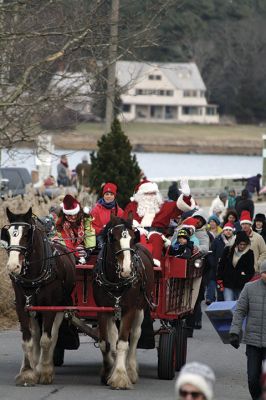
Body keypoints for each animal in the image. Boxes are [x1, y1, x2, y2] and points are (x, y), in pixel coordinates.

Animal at [1, 206, 76, 384]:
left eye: (26, 235)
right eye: (8, 235)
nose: (13, 266)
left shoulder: (49, 307)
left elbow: (46, 340)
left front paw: (45, 372)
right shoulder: (22, 307)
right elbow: (27, 341)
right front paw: (28, 372)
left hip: (60, 307)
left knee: (53, 336)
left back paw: (45, 366)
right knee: (35, 335)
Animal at [93, 217, 154, 390]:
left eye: (133, 238)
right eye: (113, 238)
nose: (127, 270)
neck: (116, 282)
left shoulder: (129, 309)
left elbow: (123, 343)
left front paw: (120, 376)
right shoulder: (102, 309)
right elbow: (105, 343)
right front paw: (108, 371)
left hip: (140, 308)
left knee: (134, 335)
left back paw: (131, 370)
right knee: (114, 336)